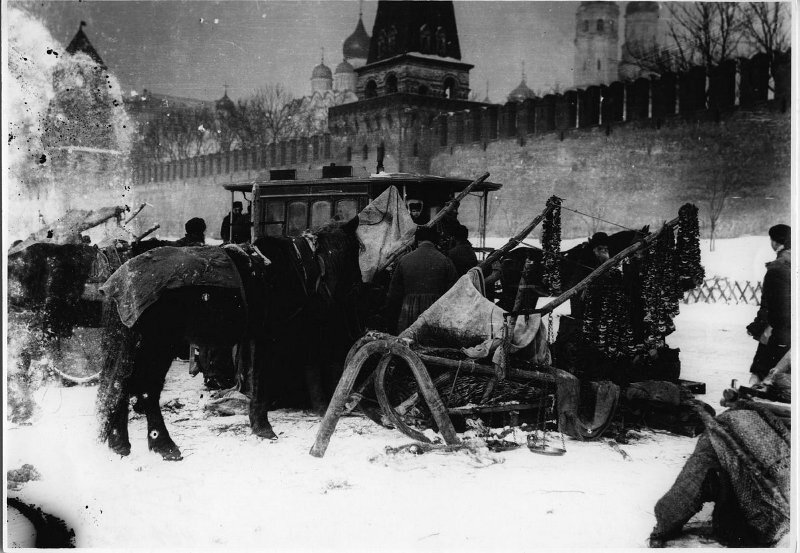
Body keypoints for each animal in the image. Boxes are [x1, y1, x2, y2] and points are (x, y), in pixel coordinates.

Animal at [94, 218, 366, 460]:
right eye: (358, 250)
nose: (360, 287)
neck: (297, 265)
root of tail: (122, 279)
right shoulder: (271, 338)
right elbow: (264, 379)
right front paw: (264, 428)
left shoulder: (258, 338)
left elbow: (259, 377)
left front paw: (258, 424)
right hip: (158, 346)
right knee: (146, 389)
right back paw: (164, 445)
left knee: (121, 385)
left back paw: (120, 443)